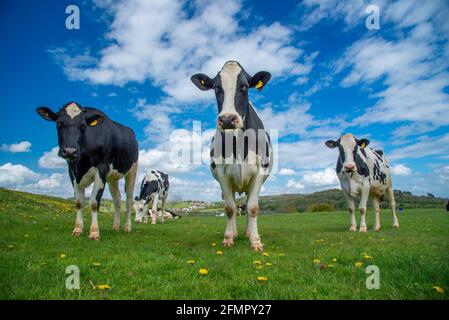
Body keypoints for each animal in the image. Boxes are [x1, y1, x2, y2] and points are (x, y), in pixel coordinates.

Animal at [36, 101, 138, 239]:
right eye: (58, 124)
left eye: (83, 126)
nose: (70, 151)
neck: (82, 161)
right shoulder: (72, 172)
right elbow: (79, 202)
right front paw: (77, 229)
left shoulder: (102, 169)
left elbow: (94, 202)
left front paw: (94, 232)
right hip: (112, 177)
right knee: (117, 199)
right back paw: (116, 226)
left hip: (132, 170)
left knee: (128, 200)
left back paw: (127, 227)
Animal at [190, 60, 272, 250]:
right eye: (216, 87)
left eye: (244, 86)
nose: (227, 119)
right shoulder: (222, 172)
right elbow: (229, 208)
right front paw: (228, 238)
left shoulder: (260, 170)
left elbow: (253, 208)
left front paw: (256, 241)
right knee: (234, 205)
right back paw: (235, 232)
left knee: (247, 205)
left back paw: (248, 232)